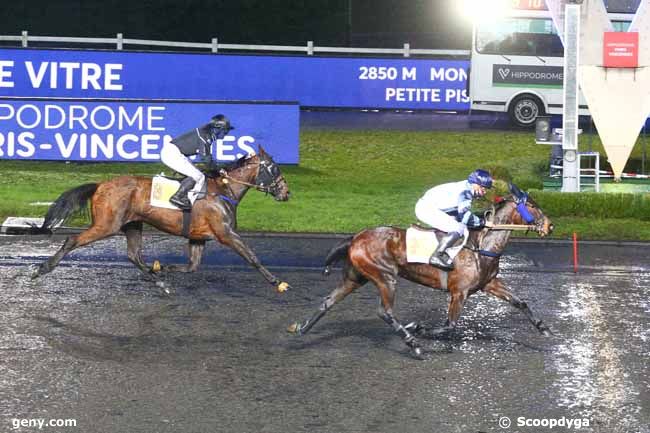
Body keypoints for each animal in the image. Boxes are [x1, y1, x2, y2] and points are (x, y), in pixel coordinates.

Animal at [31, 148, 290, 294]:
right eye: (275, 169)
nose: (286, 193)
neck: (223, 191)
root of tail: (100, 185)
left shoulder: (198, 237)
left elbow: (192, 267)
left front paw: (161, 268)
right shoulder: (225, 233)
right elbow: (252, 257)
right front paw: (277, 282)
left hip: (132, 225)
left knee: (134, 255)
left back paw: (159, 282)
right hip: (106, 225)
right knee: (72, 240)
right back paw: (42, 269)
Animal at [288, 184, 552, 356]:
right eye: (532, 206)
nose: (550, 226)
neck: (482, 245)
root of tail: (356, 237)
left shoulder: (489, 283)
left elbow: (520, 302)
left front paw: (544, 328)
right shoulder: (459, 292)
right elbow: (450, 325)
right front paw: (419, 327)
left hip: (355, 278)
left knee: (328, 301)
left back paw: (301, 329)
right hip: (385, 277)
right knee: (384, 312)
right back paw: (412, 342)